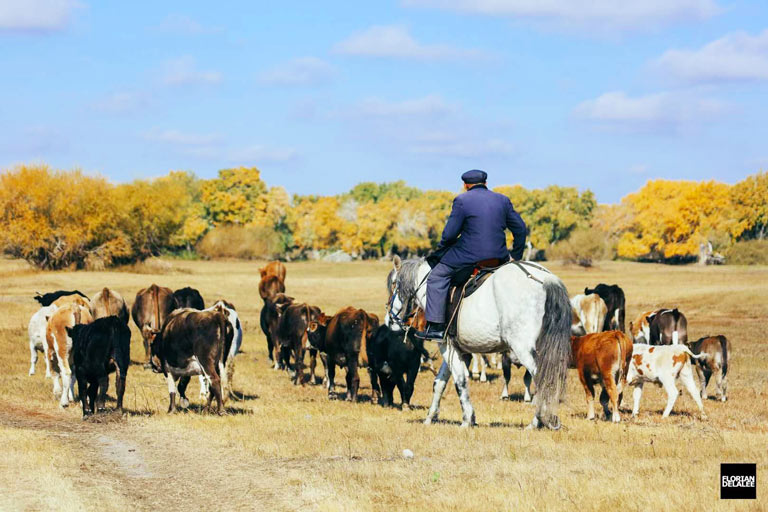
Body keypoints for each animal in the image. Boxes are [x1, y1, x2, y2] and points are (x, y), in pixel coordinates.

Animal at [388, 256, 572, 428]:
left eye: (394, 284)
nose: (390, 318)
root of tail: (546, 279)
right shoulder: (456, 349)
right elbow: (439, 383)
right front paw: (430, 417)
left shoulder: (446, 346)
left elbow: (460, 381)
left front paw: (467, 419)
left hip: (524, 349)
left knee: (542, 379)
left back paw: (536, 421)